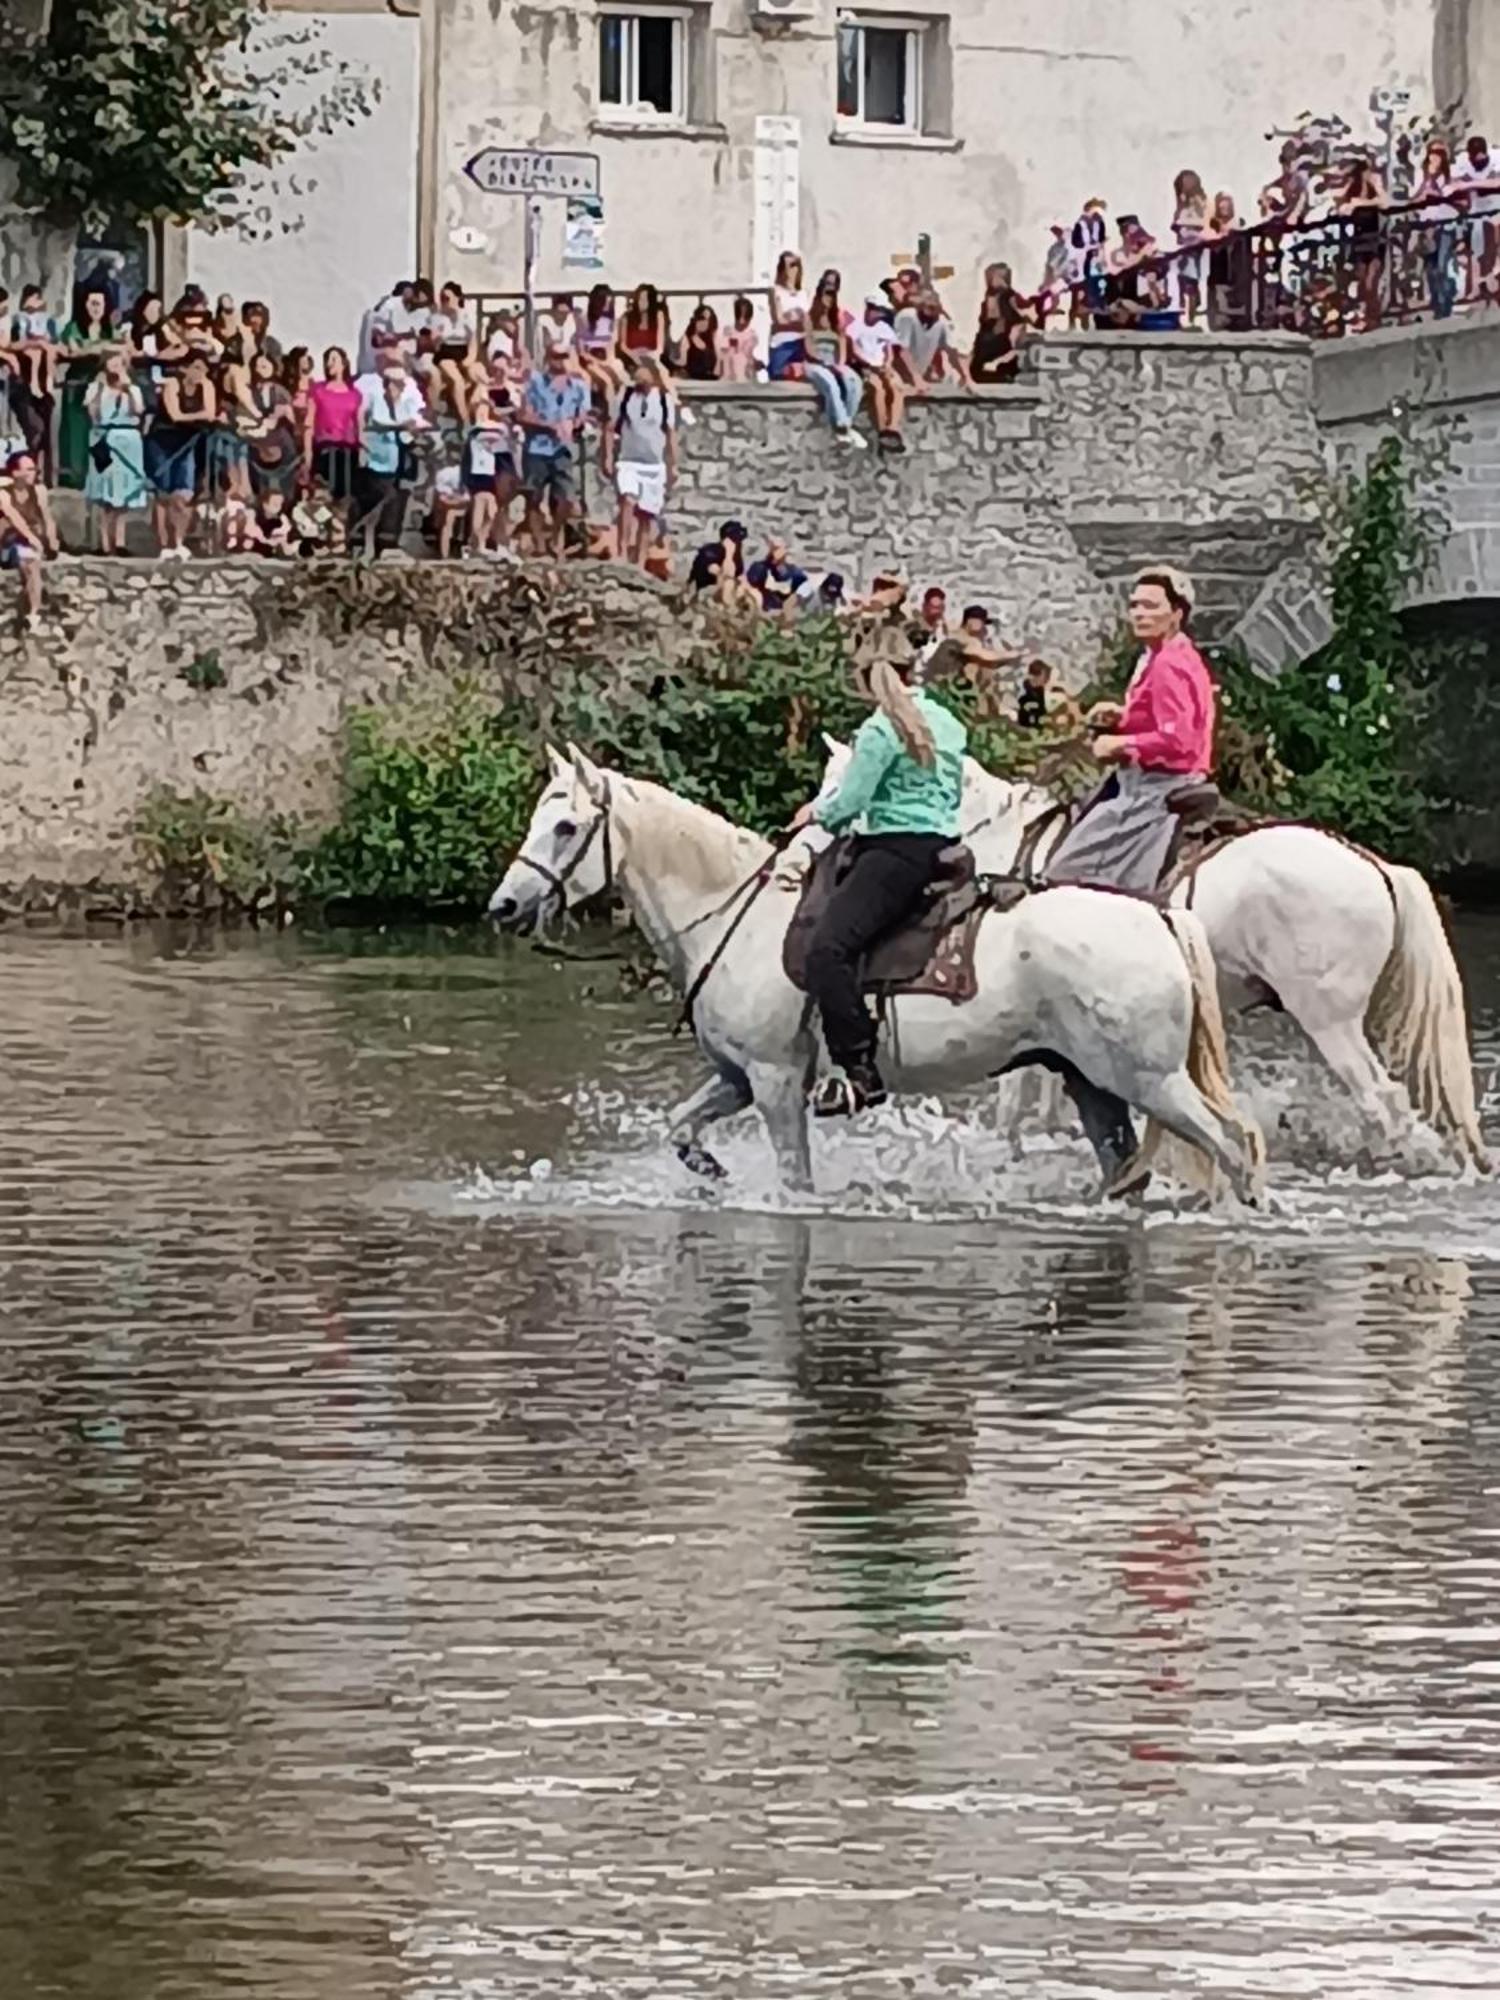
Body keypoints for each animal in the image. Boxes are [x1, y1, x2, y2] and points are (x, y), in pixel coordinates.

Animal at [490, 744, 1272, 1192]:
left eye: (565, 826)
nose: (503, 905)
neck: (732, 911)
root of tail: (1158, 915)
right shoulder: (737, 1077)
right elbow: (681, 1127)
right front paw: (707, 1168)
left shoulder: (775, 1082)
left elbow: (796, 1186)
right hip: (1093, 1083)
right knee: (1127, 1169)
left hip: (1150, 1080)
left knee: (1236, 1147)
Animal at [828, 740, 1488, 1168]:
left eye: (840, 776)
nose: (820, 827)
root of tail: (1374, 863)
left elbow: (1015, 1094)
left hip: (1328, 1019)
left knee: (1381, 1099)